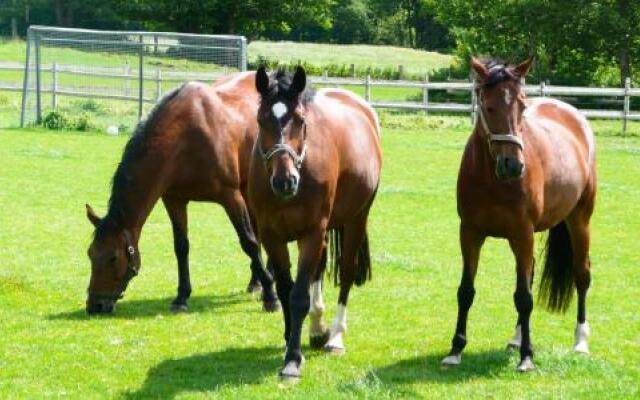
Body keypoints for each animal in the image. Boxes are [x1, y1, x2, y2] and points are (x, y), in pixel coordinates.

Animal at [82, 72, 278, 316]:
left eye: (113, 257)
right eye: (90, 253)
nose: (95, 305)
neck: (185, 136)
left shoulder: (230, 197)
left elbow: (248, 242)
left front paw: (270, 296)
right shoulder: (174, 199)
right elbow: (181, 247)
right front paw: (181, 297)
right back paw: (255, 282)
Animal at [249, 67, 380, 380]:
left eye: (300, 120)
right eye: (260, 119)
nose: (285, 181)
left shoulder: (311, 232)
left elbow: (298, 295)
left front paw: (292, 361)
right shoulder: (272, 236)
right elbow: (286, 289)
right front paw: (290, 339)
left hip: (356, 219)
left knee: (346, 273)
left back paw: (335, 337)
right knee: (318, 271)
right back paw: (318, 329)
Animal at [442, 57, 596, 374]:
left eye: (522, 106)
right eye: (488, 106)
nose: (512, 165)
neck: (491, 179)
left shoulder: (522, 234)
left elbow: (524, 298)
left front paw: (527, 357)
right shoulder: (470, 234)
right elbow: (466, 291)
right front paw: (456, 349)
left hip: (579, 220)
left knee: (581, 275)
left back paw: (580, 342)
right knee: (532, 274)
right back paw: (516, 338)